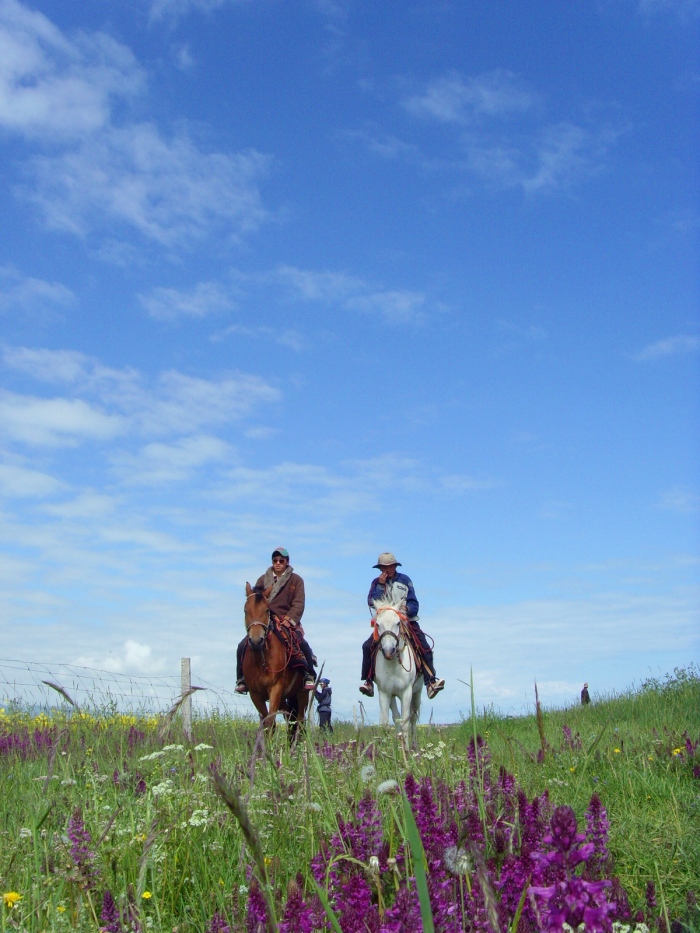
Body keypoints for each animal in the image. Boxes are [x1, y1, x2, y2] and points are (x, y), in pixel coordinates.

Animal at [242, 584, 310, 744]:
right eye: (245, 610)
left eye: (267, 610)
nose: (256, 641)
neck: (261, 660)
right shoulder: (255, 694)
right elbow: (267, 724)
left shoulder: (275, 688)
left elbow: (270, 721)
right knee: (291, 719)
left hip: (302, 693)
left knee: (300, 722)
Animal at [372, 596, 422, 748]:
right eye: (378, 624)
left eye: (398, 623)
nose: (389, 651)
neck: (393, 664)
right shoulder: (384, 692)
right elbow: (386, 724)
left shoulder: (407, 692)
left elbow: (406, 723)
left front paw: (406, 750)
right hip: (393, 695)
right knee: (396, 718)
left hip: (417, 692)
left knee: (413, 718)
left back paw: (414, 746)